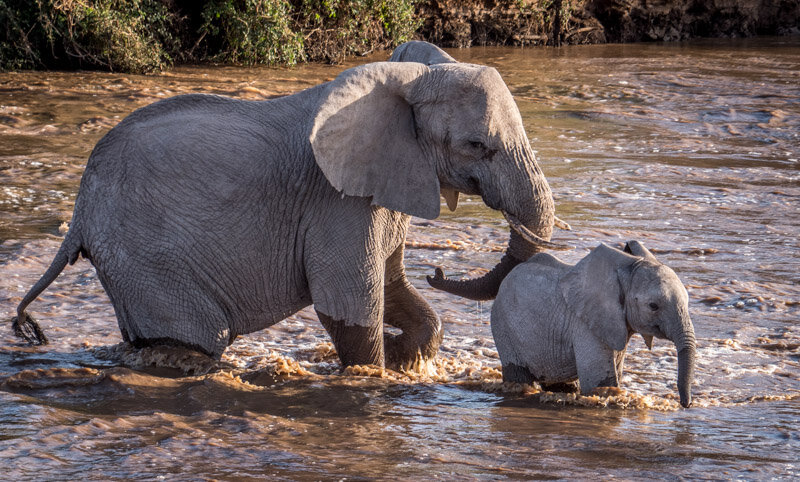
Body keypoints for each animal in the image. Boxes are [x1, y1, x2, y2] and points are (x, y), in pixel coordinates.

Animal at [9, 56, 564, 370]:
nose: (441, 271)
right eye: (476, 146)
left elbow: (391, 285)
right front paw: (378, 374)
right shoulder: (336, 203)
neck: (409, 80)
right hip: (143, 258)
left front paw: (410, 360)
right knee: (198, 338)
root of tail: (79, 212)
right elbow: (348, 305)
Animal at [490, 241, 696, 406]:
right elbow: (601, 383)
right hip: (503, 326)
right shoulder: (585, 324)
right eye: (653, 306)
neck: (628, 266)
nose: (685, 404)